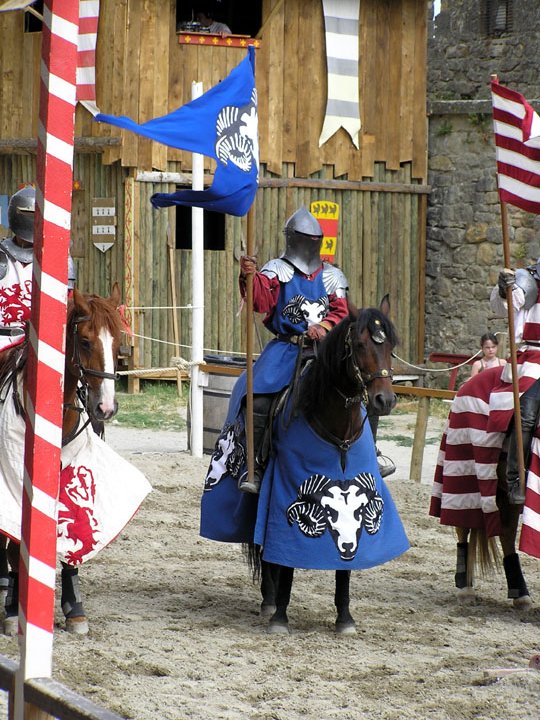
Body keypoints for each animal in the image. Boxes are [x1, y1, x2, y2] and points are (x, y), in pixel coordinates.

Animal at [0, 283, 124, 635]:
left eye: (118, 342)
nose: (105, 408)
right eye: (84, 341)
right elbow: (15, 541)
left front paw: (75, 610)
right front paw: (13, 610)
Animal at [251, 295, 408, 634]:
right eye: (360, 345)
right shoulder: (287, 490)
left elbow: (345, 566)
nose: (384, 400)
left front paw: (345, 617)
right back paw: (269, 599)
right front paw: (280, 616)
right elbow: (285, 552)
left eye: (391, 346)